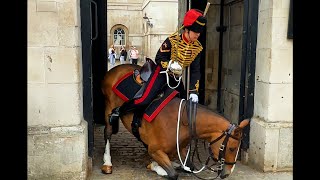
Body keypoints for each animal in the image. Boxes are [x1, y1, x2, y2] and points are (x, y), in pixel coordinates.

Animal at [100, 63, 250, 179]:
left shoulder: (181, 149)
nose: (227, 173)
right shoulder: (155, 150)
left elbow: (189, 166)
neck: (182, 121)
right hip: (108, 108)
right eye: (232, 148)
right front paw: (155, 165)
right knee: (107, 132)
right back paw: (107, 163)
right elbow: (173, 174)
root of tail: (116, 68)